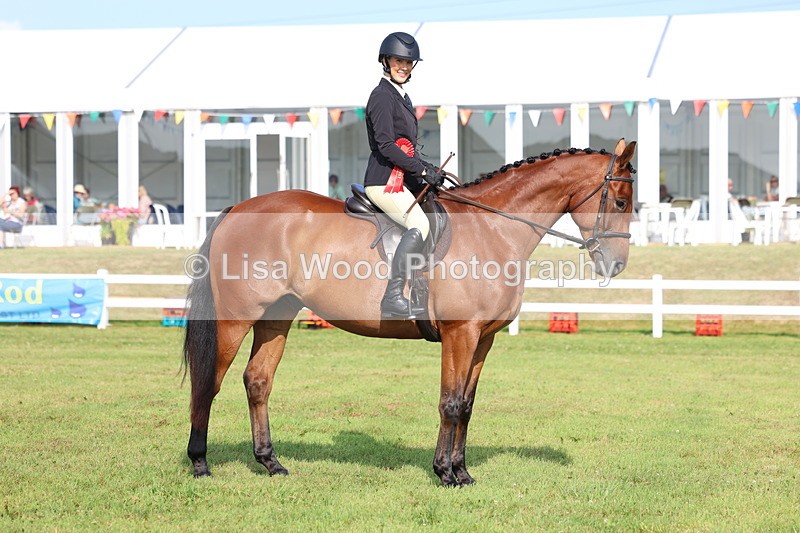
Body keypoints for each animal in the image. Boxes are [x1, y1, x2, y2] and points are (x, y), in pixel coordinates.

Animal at [183, 138, 637, 487]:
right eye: (619, 201)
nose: (616, 265)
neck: (491, 229)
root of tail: (238, 209)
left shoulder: (484, 338)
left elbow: (466, 404)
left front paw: (462, 472)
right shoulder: (460, 333)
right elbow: (449, 402)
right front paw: (445, 474)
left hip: (276, 317)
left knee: (257, 381)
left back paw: (271, 463)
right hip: (235, 319)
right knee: (209, 383)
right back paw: (200, 463)